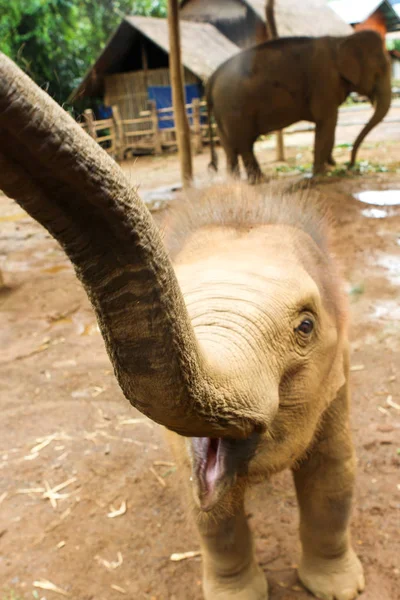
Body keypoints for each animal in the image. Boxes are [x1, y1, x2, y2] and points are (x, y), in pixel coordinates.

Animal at [206, 30, 390, 180]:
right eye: (380, 71)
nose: (350, 165)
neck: (341, 39)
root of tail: (212, 77)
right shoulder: (324, 82)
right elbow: (327, 122)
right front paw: (323, 173)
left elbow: (328, 125)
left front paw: (330, 166)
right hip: (234, 107)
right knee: (245, 144)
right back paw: (259, 180)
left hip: (223, 112)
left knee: (230, 145)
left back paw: (235, 180)